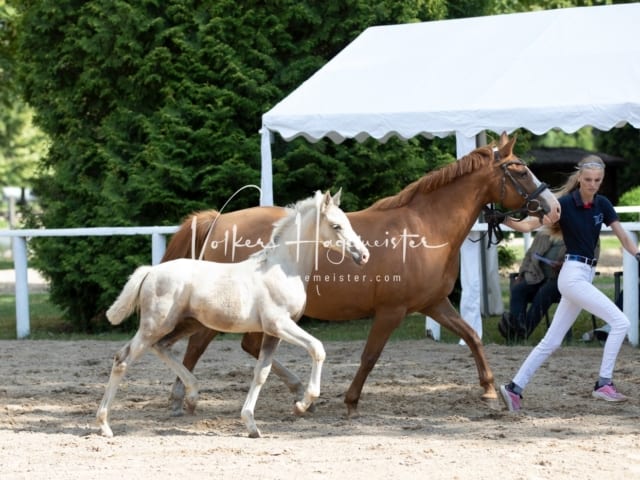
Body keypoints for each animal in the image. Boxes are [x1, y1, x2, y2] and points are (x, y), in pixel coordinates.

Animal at [97, 189, 372, 436]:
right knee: (123, 360)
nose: (363, 255)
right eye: (336, 226)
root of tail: (151, 271)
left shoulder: (272, 333)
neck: (283, 268)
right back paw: (105, 425)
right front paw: (302, 404)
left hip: (185, 324)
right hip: (155, 325)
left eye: (348, 222)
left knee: (159, 347)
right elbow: (317, 349)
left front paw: (251, 425)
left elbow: (261, 373)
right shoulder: (280, 324)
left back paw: (193, 393)